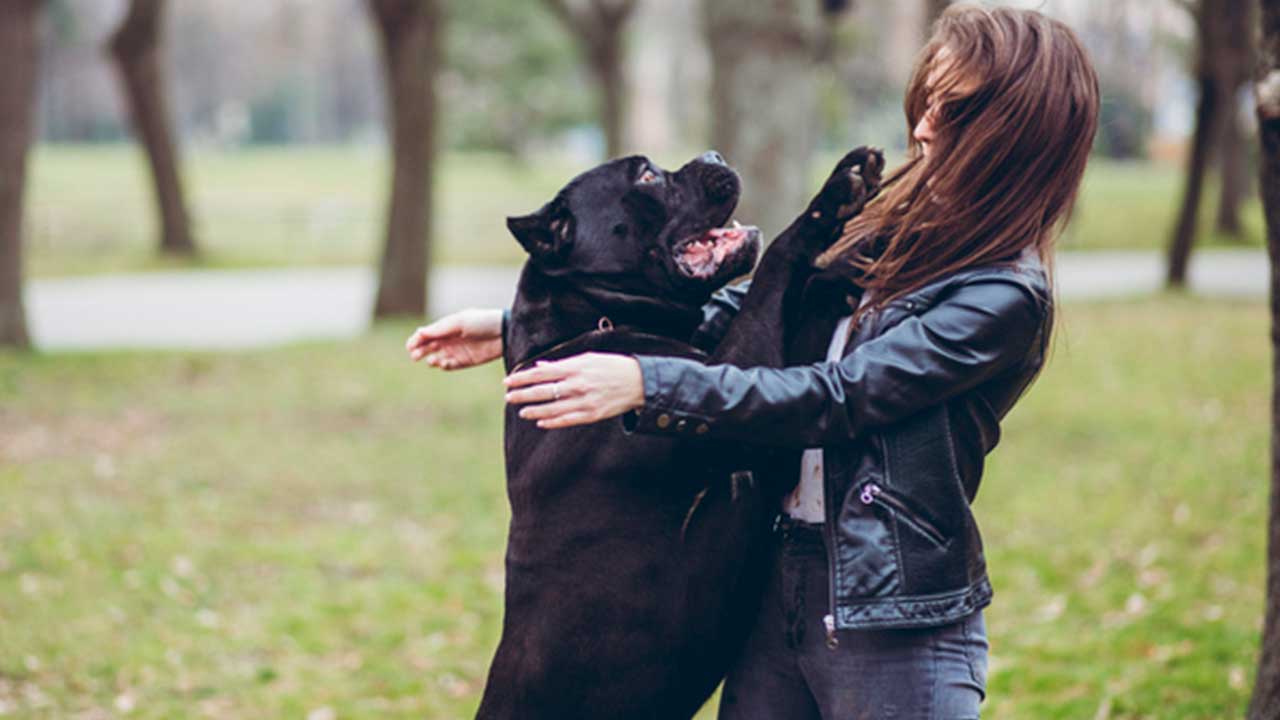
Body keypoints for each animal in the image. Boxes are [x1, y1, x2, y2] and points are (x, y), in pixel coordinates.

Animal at [481, 148, 880, 712]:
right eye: (647, 176)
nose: (714, 154)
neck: (594, 324)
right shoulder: (746, 413)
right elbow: (773, 270)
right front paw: (835, 198)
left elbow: (804, 307)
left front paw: (855, 255)